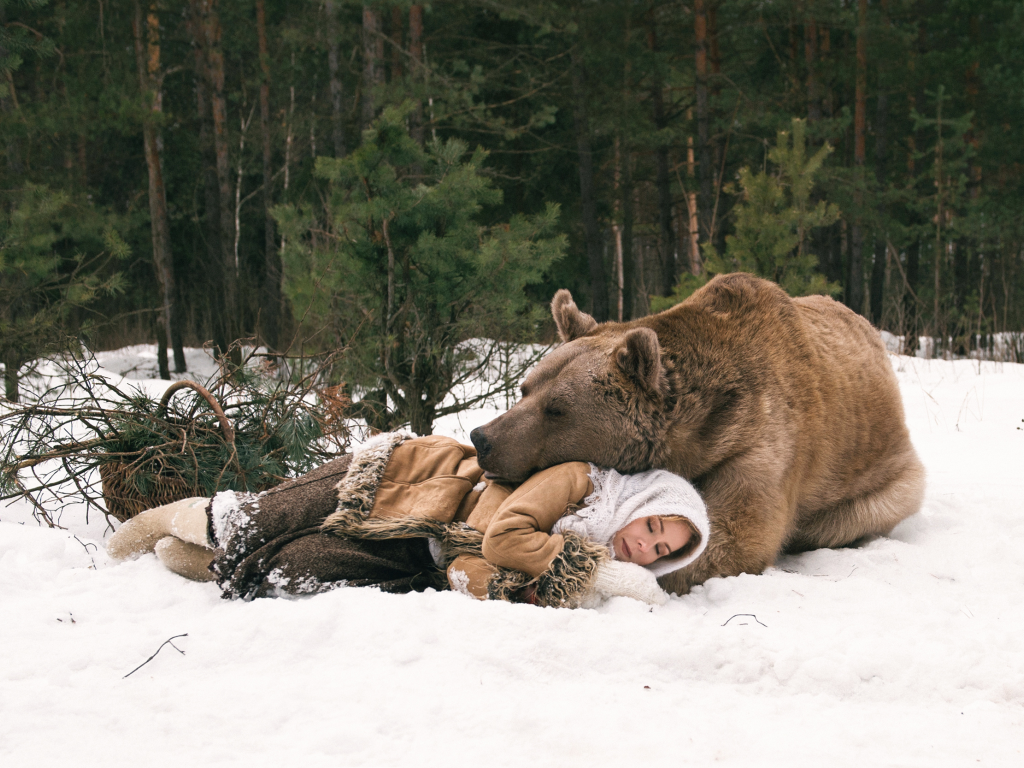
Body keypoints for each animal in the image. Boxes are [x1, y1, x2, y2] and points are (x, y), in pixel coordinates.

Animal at [471, 274, 929, 598]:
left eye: (557, 409)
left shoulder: (759, 443)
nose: (483, 438)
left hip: (880, 482)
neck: (694, 437)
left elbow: (733, 537)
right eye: (526, 389)